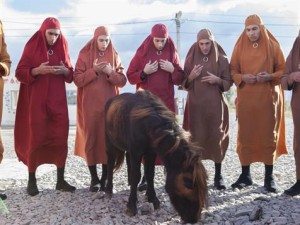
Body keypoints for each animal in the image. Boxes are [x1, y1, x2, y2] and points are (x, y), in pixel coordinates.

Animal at [104, 89, 207, 223]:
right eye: (188, 183)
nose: (194, 219)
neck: (147, 124)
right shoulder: (136, 152)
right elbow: (136, 176)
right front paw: (131, 205)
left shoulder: (151, 153)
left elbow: (150, 174)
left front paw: (152, 198)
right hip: (109, 142)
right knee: (110, 163)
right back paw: (108, 190)